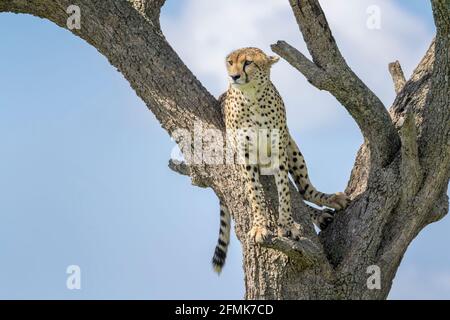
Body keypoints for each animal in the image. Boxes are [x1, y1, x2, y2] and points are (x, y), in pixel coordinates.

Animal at [213, 47, 350, 272]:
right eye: (230, 62)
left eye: (248, 62)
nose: (234, 76)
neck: (252, 97)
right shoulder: (245, 156)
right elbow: (255, 193)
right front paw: (260, 227)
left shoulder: (279, 151)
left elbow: (285, 192)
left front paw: (286, 225)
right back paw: (320, 215)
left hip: (292, 148)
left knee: (304, 191)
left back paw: (329, 201)